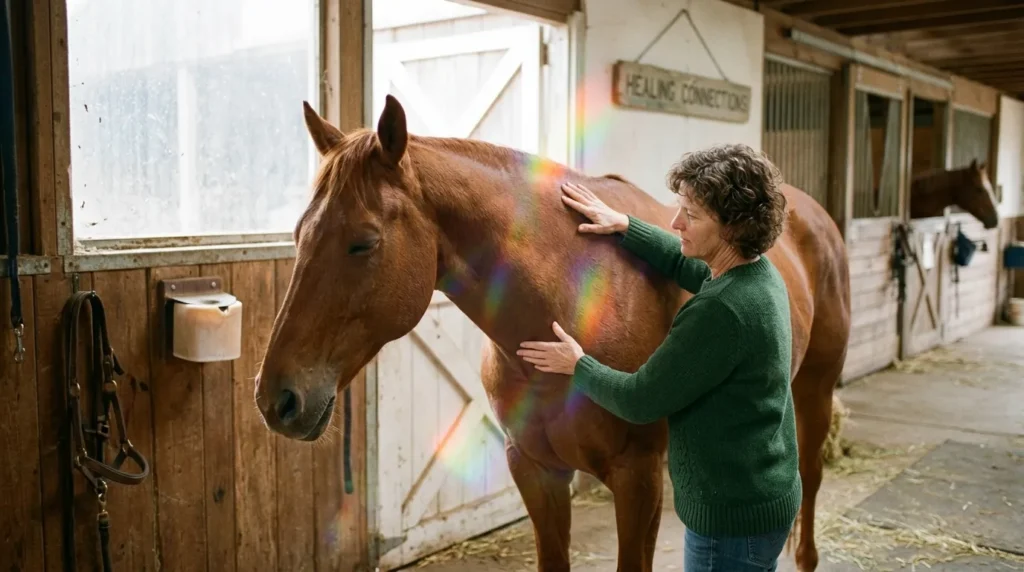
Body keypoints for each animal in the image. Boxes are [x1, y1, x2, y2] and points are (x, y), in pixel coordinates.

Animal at [254, 94, 851, 572]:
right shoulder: (536, 471)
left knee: (810, 475)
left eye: (363, 242)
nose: (276, 400)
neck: (578, 299)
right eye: (299, 233)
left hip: (815, 391)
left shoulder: (638, 477)